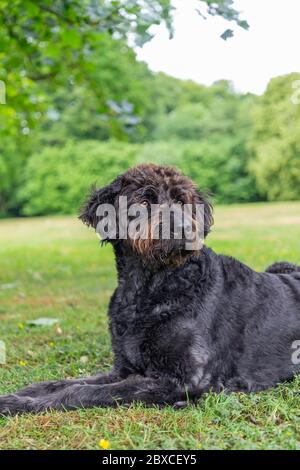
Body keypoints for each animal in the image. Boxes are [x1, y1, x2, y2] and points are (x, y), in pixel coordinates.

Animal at [0, 163, 300, 414]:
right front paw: (22, 394)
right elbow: (65, 382)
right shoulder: (123, 369)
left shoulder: (180, 378)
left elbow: (84, 392)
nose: (183, 228)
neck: (151, 288)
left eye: (181, 200)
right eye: (144, 201)